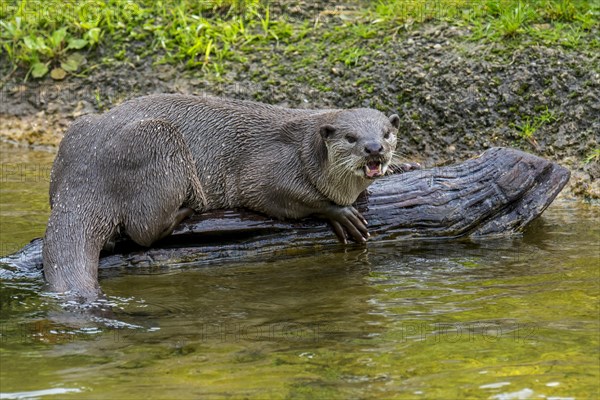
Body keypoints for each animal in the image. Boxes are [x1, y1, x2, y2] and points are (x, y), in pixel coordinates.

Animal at [42, 94, 398, 300]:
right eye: (351, 137)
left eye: (386, 133)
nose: (374, 148)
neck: (306, 150)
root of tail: (85, 174)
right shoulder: (264, 171)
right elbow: (278, 194)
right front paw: (340, 212)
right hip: (157, 139)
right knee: (143, 231)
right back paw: (186, 211)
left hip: (76, 131)